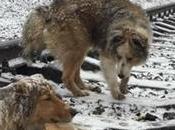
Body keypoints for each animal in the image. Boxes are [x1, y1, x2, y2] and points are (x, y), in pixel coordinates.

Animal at [22, 0, 152, 99]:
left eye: (130, 58)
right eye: (118, 56)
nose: (120, 75)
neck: (130, 24)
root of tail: (50, 11)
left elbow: (127, 71)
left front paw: (123, 85)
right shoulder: (107, 55)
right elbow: (112, 76)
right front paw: (116, 91)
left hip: (81, 48)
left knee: (76, 74)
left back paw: (87, 87)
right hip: (77, 48)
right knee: (67, 77)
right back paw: (78, 92)